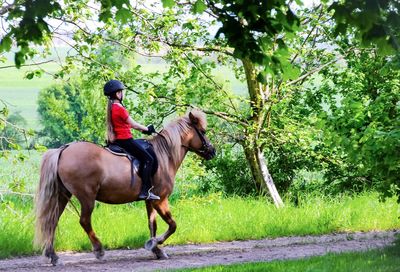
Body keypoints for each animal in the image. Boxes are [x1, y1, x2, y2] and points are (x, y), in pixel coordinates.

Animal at [34, 109, 216, 264]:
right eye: (203, 132)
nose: (212, 151)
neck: (165, 156)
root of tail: (63, 150)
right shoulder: (160, 200)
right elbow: (172, 225)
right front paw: (155, 243)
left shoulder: (150, 200)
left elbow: (152, 225)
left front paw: (156, 249)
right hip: (86, 197)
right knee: (84, 221)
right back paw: (98, 250)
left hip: (62, 195)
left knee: (52, 221)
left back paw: (52, 255)